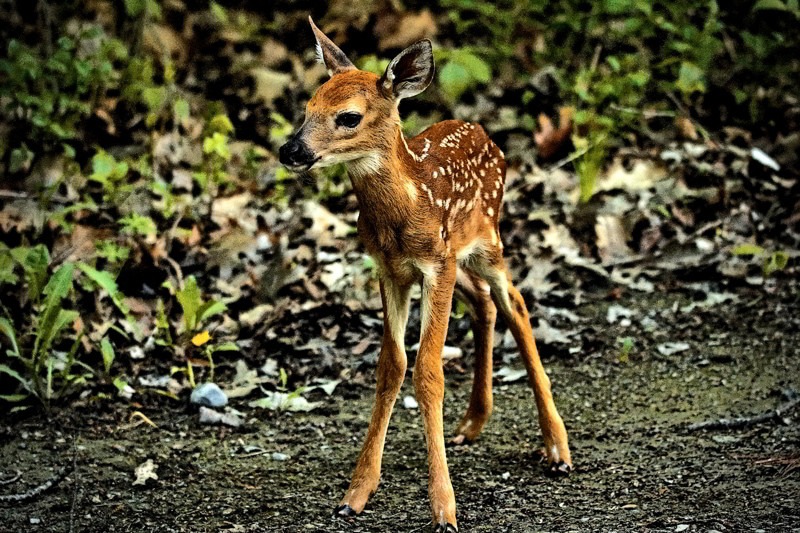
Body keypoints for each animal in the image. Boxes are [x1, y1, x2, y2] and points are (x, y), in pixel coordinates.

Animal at [278, 17, 572, 532]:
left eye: (348, 117)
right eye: (308, 108)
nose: (289, 149)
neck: (405, 210)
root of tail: (484, 132)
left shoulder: (436, 265)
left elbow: (428, 372)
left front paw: (444, 509)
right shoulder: (391, 270)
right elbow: (392, 366)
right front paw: (356, 493)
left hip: (487, 238)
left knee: (514, 303)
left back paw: (557, 447)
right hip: (463, 258)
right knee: (484, 302)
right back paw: (472, 423)